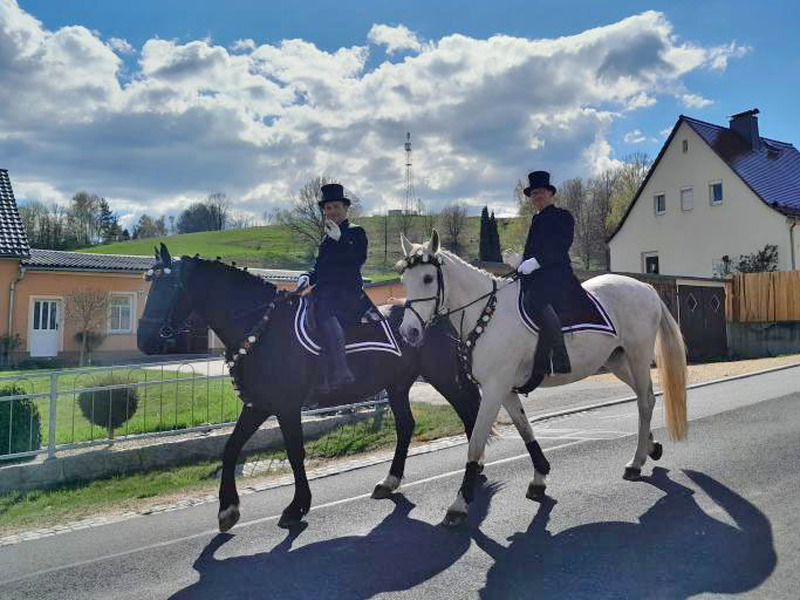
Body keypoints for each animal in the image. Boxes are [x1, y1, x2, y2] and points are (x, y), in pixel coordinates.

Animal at [138, 246, 482, 532]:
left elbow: (295, 453)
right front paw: (227, 509)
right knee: (407, 425)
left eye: (170, 288)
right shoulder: (258, 404)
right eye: (151, 287)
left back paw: (472, 478)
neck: (264, 328)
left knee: (470, 415)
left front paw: (297, 506)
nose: (145, 340)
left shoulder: (287, 406)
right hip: (397, 385)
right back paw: (391, 481)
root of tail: (439, 315)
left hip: (442, 376)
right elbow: (231, 448)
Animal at [396, 230, 684, 524]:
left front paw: (459, 503)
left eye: (428, 278)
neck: (487, 314)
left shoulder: (494, 388)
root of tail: (646, 288)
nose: (408, 332)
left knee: (644, 403)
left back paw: (636, 463)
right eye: (404, 280)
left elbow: (476, 443)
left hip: (637, 356)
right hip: (617, 361)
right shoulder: (505, 390)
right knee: (645, 396)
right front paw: (539, 477)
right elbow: (525, 429)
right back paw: (650, 448)